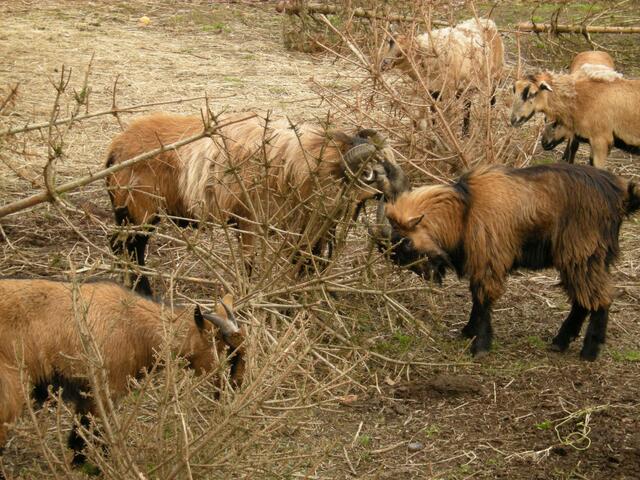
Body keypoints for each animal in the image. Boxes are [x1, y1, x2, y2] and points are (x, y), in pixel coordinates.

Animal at [0, 278, 244, 467]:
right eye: (221, 346)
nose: (231, 388)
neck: (132, 324)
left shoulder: (89, 396)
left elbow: (80, 435)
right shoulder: (104, 390)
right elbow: (92, 434)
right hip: (11, 390)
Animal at [106, 112, 409, 295]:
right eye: (377, 173)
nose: (405, 192)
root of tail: (116, 148)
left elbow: (304, 262)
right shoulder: (249, 223)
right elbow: (250, 264)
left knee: (125, 247)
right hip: (140, 210)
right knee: (130, 247)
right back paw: (141, 290)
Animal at [371, 163, 640, 360]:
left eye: (406, 242)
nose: (428, 275)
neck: (465, 209)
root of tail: (620, 196)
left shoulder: (489, 258)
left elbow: (483, 298)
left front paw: (479, 346)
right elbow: (476, 298)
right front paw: (468, 333)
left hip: (583, 252)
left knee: (600, 298)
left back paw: (589, 352)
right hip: (582, 257)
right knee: (583, 300)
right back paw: (560, 342)